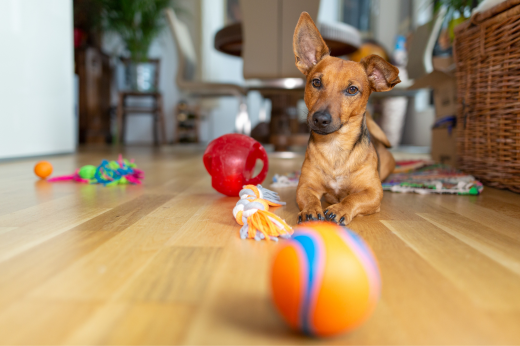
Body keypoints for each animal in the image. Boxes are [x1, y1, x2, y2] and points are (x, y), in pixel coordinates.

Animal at [294, 12, 400, 226]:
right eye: (316, 82)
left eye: (352, 89)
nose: (320, 119)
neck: (335, 146)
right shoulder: (305, 186)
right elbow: (309, 198)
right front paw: (311, 209)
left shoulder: (373, 192)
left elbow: (353, 198)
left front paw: (340, 208)